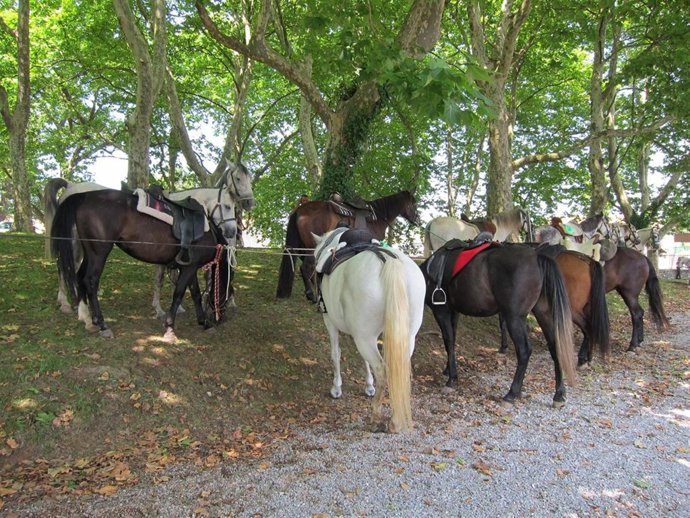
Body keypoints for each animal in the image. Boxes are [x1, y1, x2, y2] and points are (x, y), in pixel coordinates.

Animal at [50, 188, 234, 342]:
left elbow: (195, 293)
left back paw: (87, 318)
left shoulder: (189, 268)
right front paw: (170, 329)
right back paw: (102, 324)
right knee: (90, 281)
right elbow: (179, 294)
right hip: (99, 253)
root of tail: (85, 196)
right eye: (227, 206)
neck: (207, 229)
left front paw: (204, 323)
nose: (222, 319)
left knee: (80, 277)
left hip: (90, 252)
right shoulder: (189, 268)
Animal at [276, 190, 420, 302]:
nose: (418, 220)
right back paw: (313, 295)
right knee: (306, 268)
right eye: (414, 204)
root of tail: (300, 210)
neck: (378, 217)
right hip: (311, 248)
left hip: (301, 248)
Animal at [313, 227, 426, 432]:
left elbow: (335, 354)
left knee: (382, 370)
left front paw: (336, 388)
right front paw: (369, 386)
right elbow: (363, 360)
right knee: (397, 369)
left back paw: (376, 416)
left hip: (364, 337)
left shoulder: (330, 322)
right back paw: (395, 419)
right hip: (404, 336)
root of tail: (389, 260)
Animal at [420, 242, 577, 407]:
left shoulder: (441, 311)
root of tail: (537, 256)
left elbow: (448, 341)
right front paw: (447, 370)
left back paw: (512, 393)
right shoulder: (454, 312)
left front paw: (452, 379)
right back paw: (559, 394)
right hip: (543, 314)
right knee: (555, 347)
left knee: (524, 351)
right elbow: (453, 339)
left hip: (514, 318)